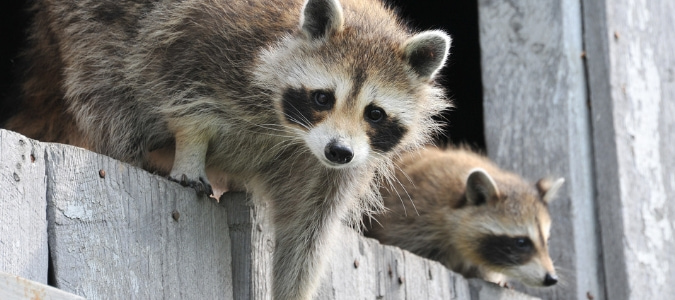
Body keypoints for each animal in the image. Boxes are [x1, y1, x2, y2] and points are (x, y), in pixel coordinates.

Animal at [6, 0, 454, 298]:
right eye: (323, 98)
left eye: (374, 113)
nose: (339, 151)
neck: (292, 131)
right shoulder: (210, 41)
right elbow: (182, 93)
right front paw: (190, 149)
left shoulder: (330, 168)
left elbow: (307, 230)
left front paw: (292, 286)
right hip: (86, 32)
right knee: (107, 91)